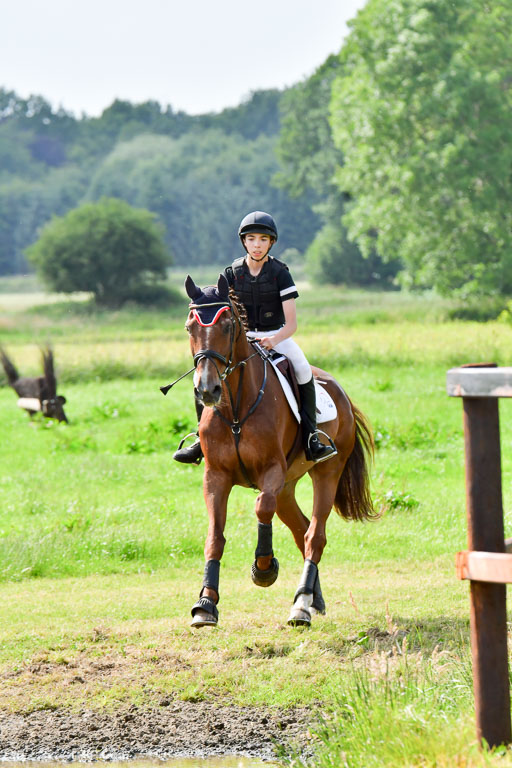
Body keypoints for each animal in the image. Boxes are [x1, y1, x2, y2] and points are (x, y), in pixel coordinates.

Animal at [177, 273, 376, 627]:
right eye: (190, 328)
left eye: (227, 325)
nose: (207, 389)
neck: (236, 410)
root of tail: (340, 390)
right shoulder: (216, 476)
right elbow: (215, 536)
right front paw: (205, 603)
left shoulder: (272, 471)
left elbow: (261, 507)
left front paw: (264, 568)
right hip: (288, 487)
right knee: (302, 531)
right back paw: (312, 599)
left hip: (326, 472)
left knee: (315, 535)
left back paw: (301, 605)